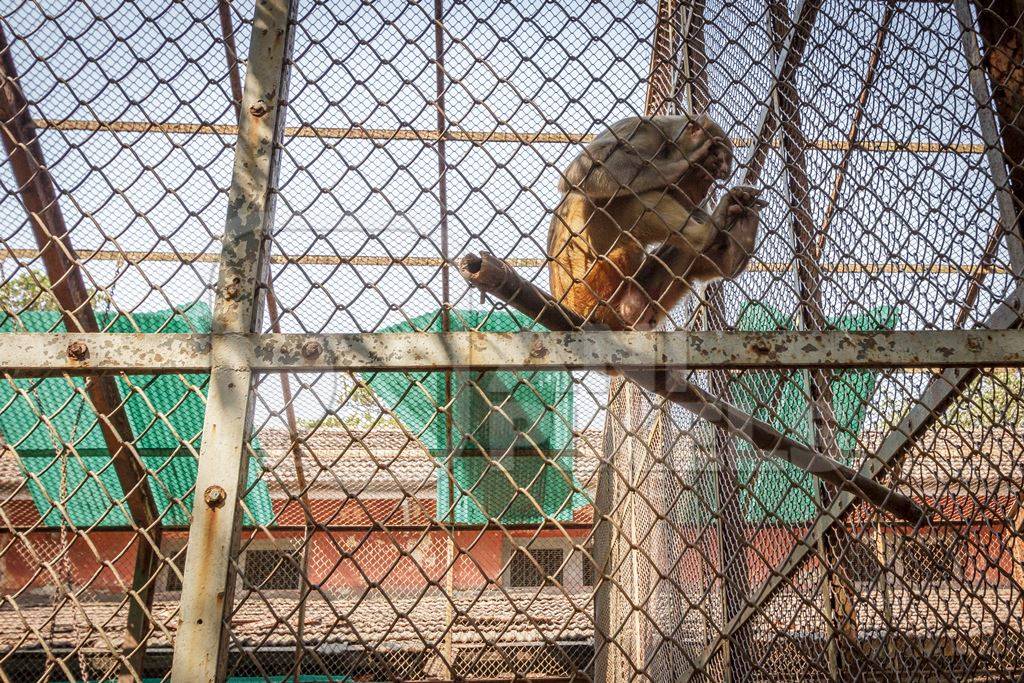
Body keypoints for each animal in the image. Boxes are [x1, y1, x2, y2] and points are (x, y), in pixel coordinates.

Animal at [548, 113, 765, 329]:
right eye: (706, 174)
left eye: (712, 179)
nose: (702, 192)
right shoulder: (644, 130)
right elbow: (585, 168)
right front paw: (680, 166)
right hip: (592, 287)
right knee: (636, 202)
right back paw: (705, 235)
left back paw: (734, 250)